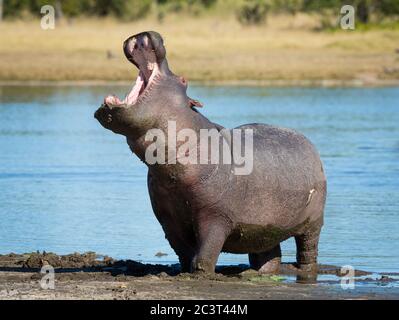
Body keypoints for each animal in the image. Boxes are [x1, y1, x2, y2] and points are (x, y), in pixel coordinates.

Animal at [95, 30, 326, 276]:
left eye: (184, 80)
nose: (149, 35)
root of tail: (309, 143)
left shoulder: (216, 217)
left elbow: (205, 253)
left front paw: (200, 274)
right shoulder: (168, 220)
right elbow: (183, 252)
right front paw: (182, 272)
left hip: (313, 222)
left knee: (308, 249)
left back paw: (305, 271)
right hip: (265, 229)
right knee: (269, 252)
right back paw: (255, 274)